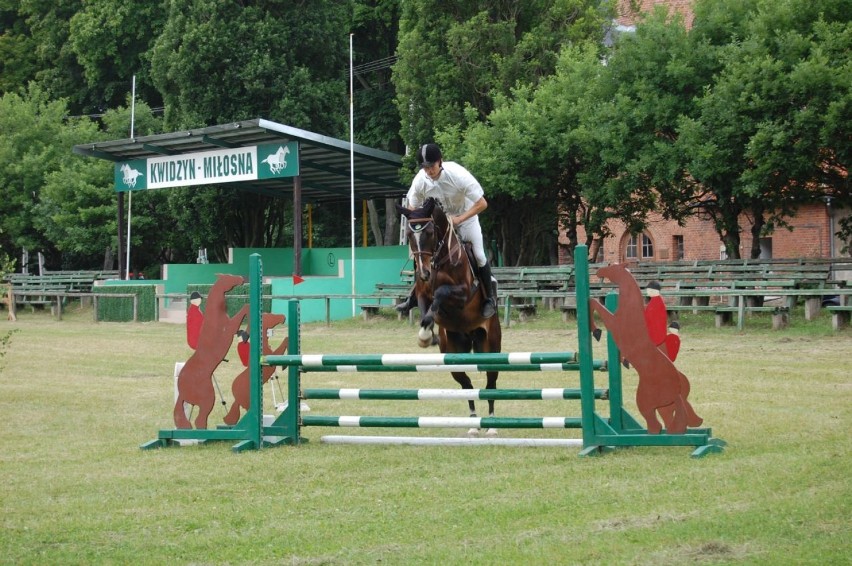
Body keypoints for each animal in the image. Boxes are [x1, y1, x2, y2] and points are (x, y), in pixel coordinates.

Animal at [175, 276, 250, 430]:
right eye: (229, 276)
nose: (242, 278)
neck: (216, 314)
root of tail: (182, 391)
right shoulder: (230, 327)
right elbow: (243, 311)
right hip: (208, 399)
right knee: (200, 420)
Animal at [396, 197, 502, 438]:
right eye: (410, 236)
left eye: (429, 233)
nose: (424, 272)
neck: (439, 260)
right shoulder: (422, 293)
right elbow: (426, 310)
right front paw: (427, 336)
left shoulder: (462, 292)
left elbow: (441, 294)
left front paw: (426, 335)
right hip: (453, 353)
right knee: (467, 385)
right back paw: (473, 424)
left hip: (491, 346)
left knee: (490, 383)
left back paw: (491, 425)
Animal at [588, 264, 704, 438]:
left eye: (612, 267)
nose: (598, 272)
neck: (630, 309)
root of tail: (676, 389)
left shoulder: (613, 323)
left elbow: (595, 304)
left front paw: (596, 332)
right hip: (665, 405)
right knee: (672, 417)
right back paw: (674, 431)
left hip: (645, 401)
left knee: (655, 422)